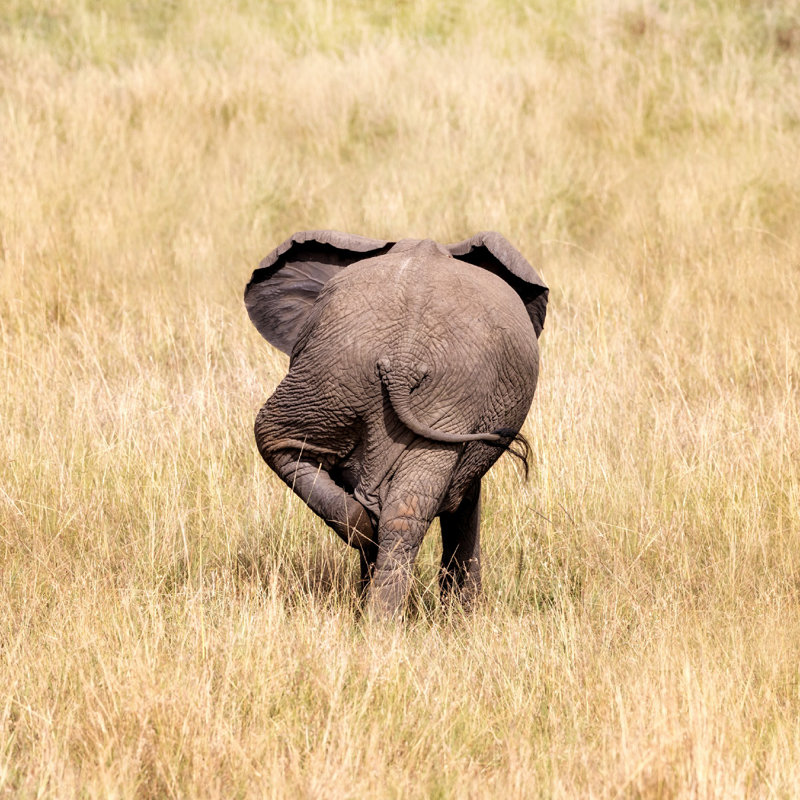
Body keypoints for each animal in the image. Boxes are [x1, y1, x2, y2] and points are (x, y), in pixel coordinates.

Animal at [245, 230, 548, 617]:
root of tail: (403, 359)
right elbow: (465, 500)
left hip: (343, 374)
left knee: (280, 441)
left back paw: (370, 583)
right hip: (379, 381)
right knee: (277, 437)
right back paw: (378, 611)